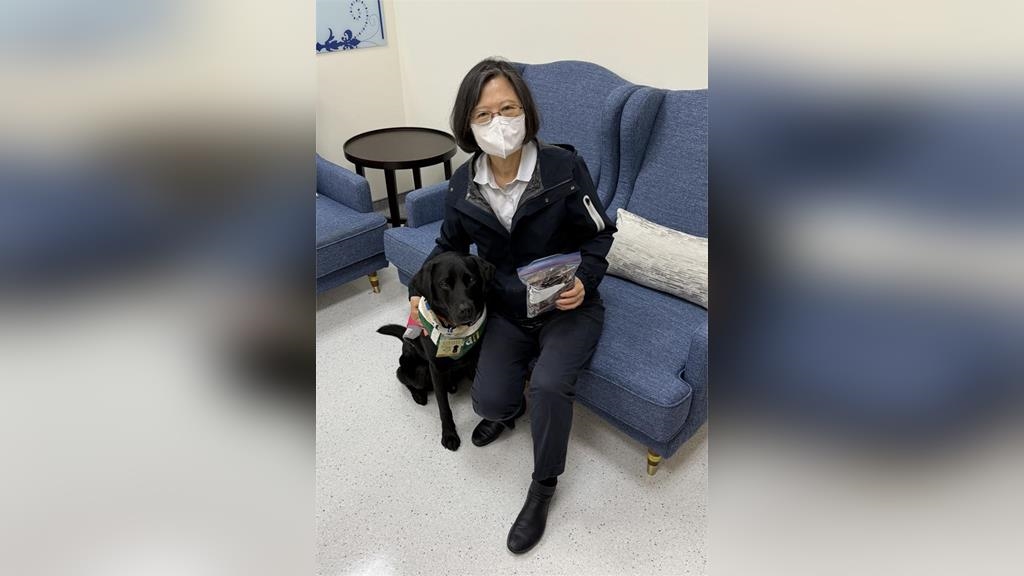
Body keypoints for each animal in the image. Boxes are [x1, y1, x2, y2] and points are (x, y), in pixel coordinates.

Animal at [377, 251, 495, 451]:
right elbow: (443, 407)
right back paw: (418, 395)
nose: (466, 310)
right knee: (401, 375)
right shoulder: (436, 370)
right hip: (419, 371)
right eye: (444, 283)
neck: (454, 333)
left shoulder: (474, 360)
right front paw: (449, 435)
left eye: (471, 279)